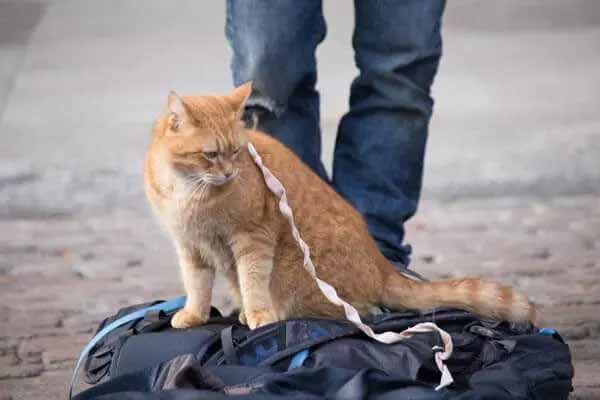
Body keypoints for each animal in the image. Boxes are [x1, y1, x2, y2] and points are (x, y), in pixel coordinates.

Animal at [144, 83, 536, 330]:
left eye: (237, 152)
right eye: (210, 155)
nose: (228, 173)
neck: (188, 191)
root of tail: (382, 266)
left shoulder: (253, 238)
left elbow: (253, 281)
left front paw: (258, 314)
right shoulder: (190, 247)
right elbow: (197, 286)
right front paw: (194, 316)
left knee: (364, 310)